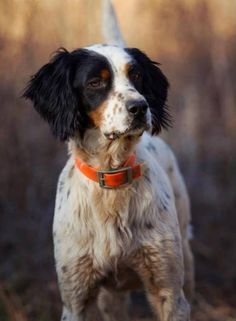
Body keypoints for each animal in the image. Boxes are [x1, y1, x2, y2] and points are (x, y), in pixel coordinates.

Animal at [23, 1, 195, 318]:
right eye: (95, 82)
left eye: (137, 76)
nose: (140, 107)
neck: (112, 177)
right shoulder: (76, 299)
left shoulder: (169, 293)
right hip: (110, 298)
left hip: (184, 261)